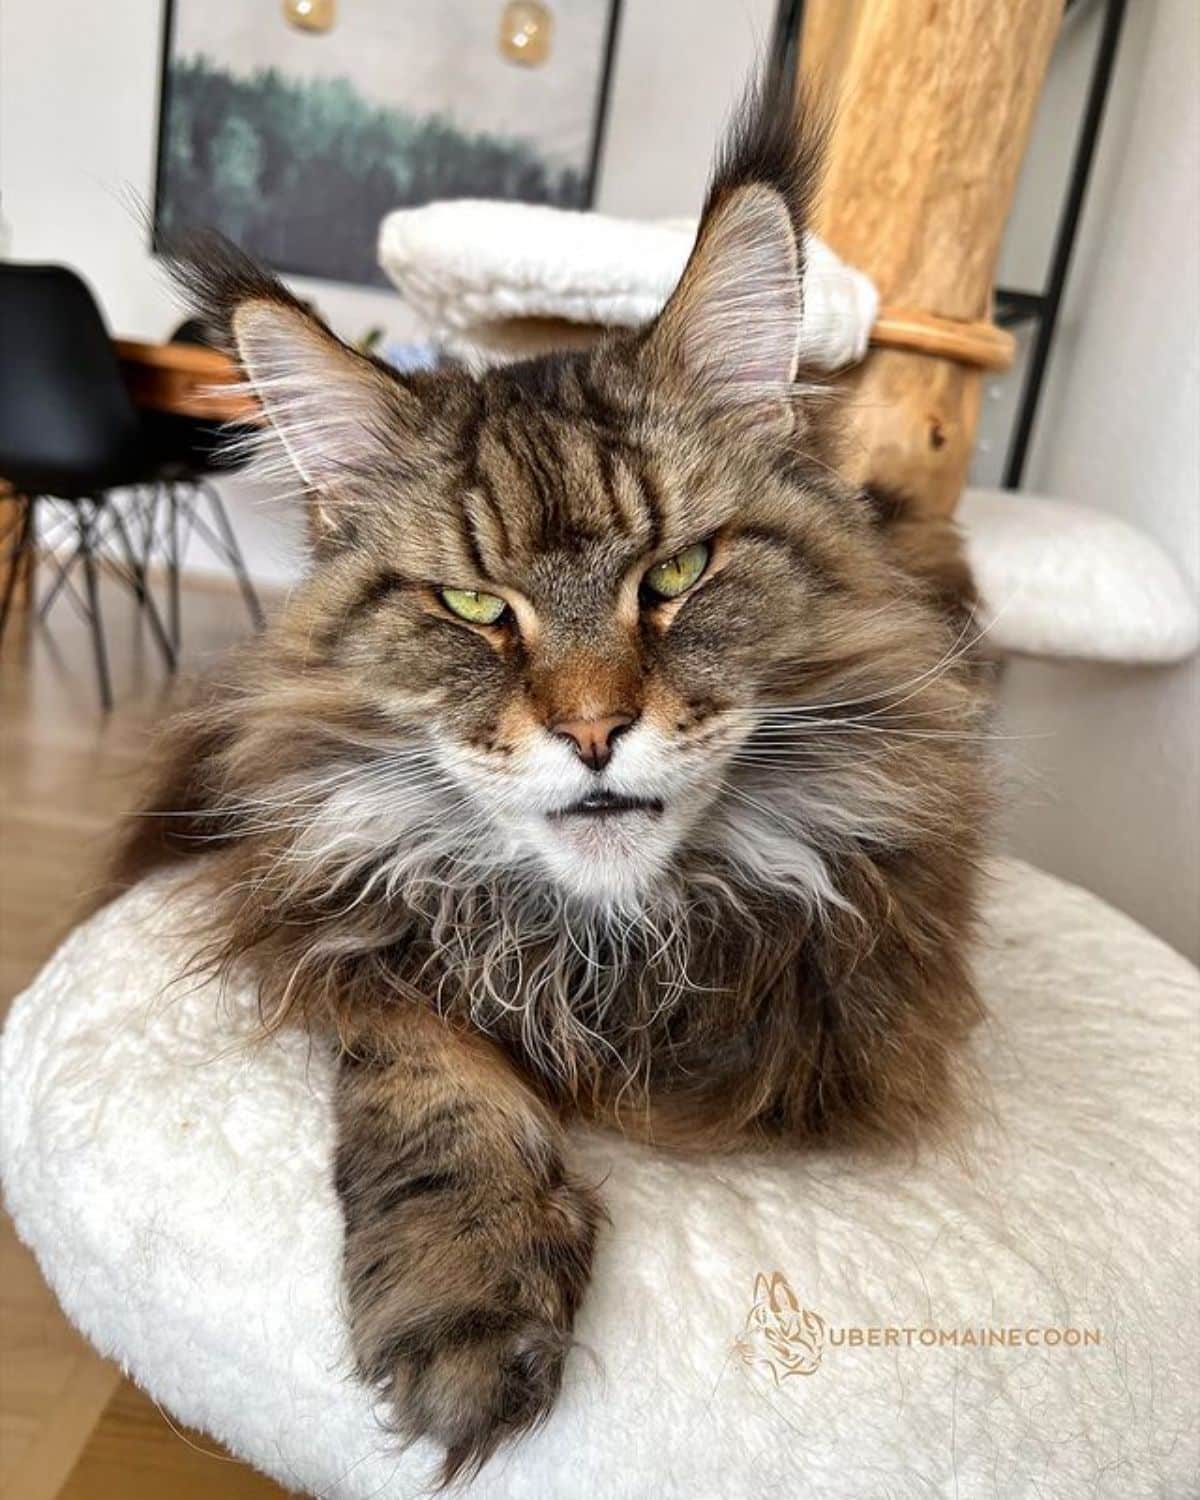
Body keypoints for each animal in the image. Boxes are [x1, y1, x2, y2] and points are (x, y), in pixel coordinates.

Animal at [112, 67, 990, 1476]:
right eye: (476, 607)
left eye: (677, 574)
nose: (592, 732)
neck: (597, 938)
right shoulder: (349, 926)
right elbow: (435, 1074)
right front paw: (464, 1305)